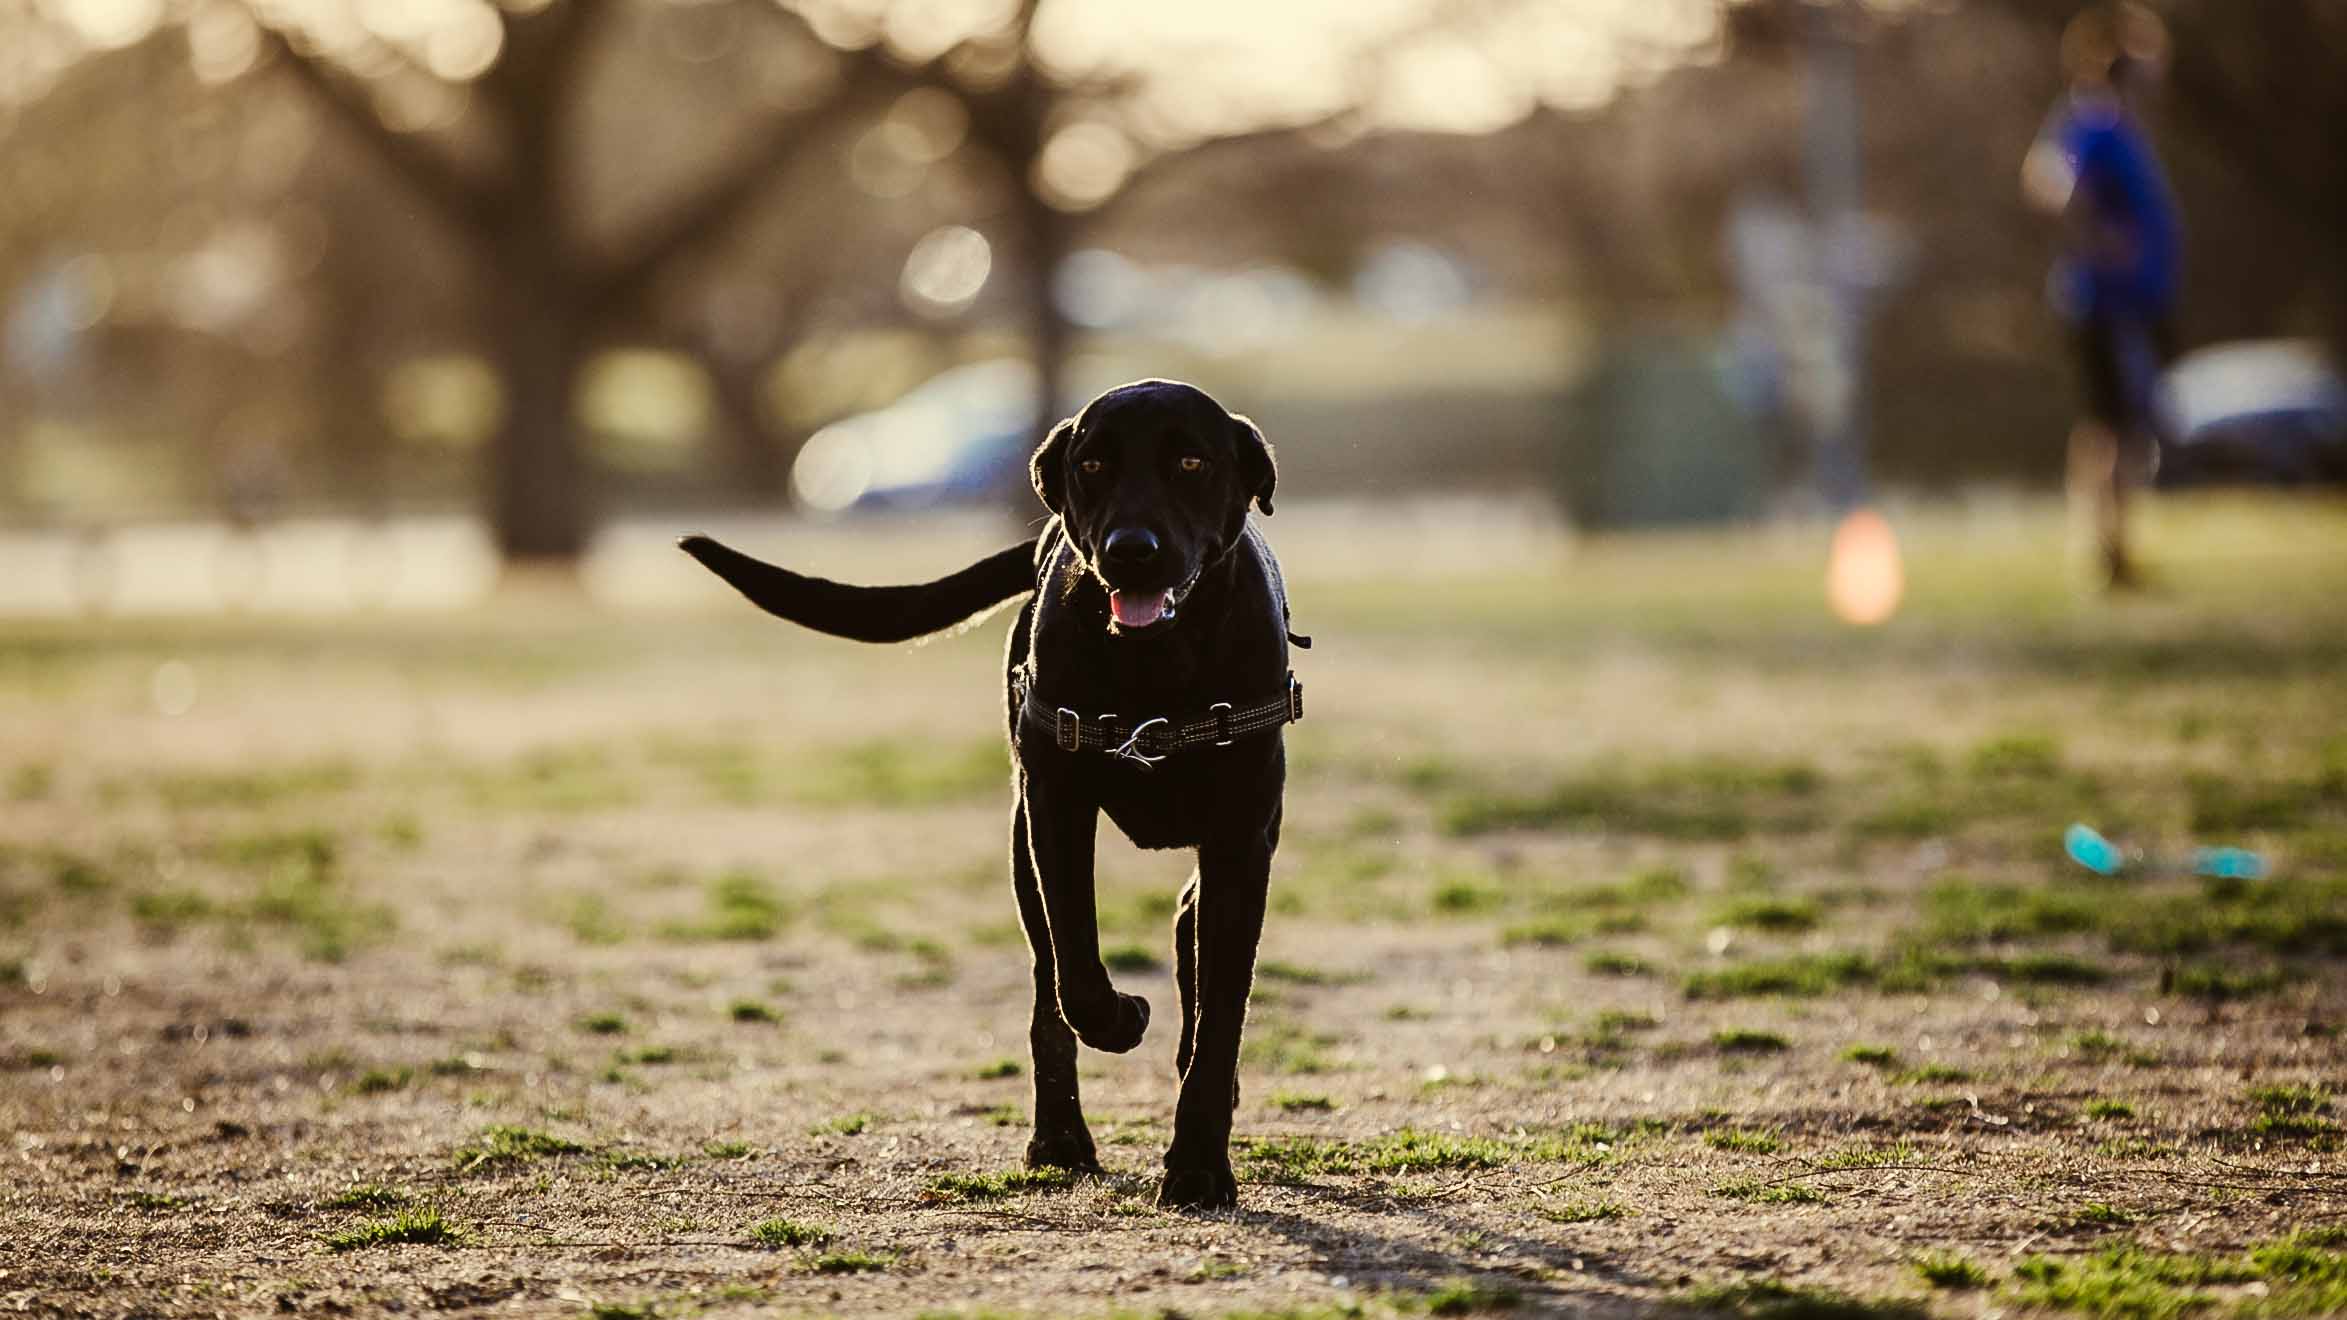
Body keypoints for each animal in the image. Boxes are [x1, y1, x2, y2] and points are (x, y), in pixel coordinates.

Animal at [680, 378, 1304, 1202]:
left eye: (1191, 462)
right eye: (1093, 464)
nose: (1129, 551)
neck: (1156, 667)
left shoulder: (1240, 836)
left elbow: (1222, 1009)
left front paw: (1199, 1165)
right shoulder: (1054, 813)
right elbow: (1078, 973)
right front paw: (1123, 1018)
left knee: (1187, 938)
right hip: (1019, 849)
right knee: (1050, 994)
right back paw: (1060, 1138)